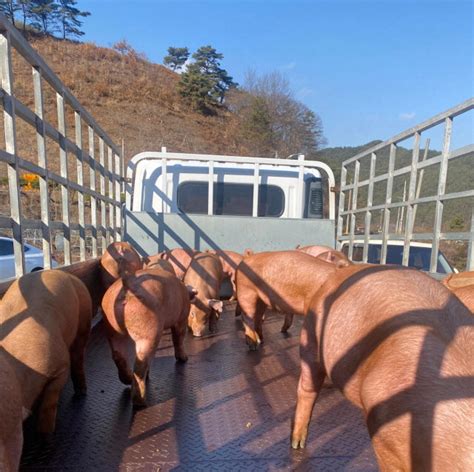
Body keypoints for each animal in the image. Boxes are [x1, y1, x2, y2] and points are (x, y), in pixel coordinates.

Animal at [0, 272, 91, 436]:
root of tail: (69, 274)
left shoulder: (60, 364)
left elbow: (50, 400)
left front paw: (45, 434)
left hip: (85, 314)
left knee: (78, 355)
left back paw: (81, 393)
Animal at [102, 266, 194, 406]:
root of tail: (127, 286)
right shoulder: (182, 318)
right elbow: (178, 337)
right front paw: (184, 359)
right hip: (148, 331)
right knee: (140, 363)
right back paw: (141, 403)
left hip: (112, 328)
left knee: (118, 355)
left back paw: (128, 379)